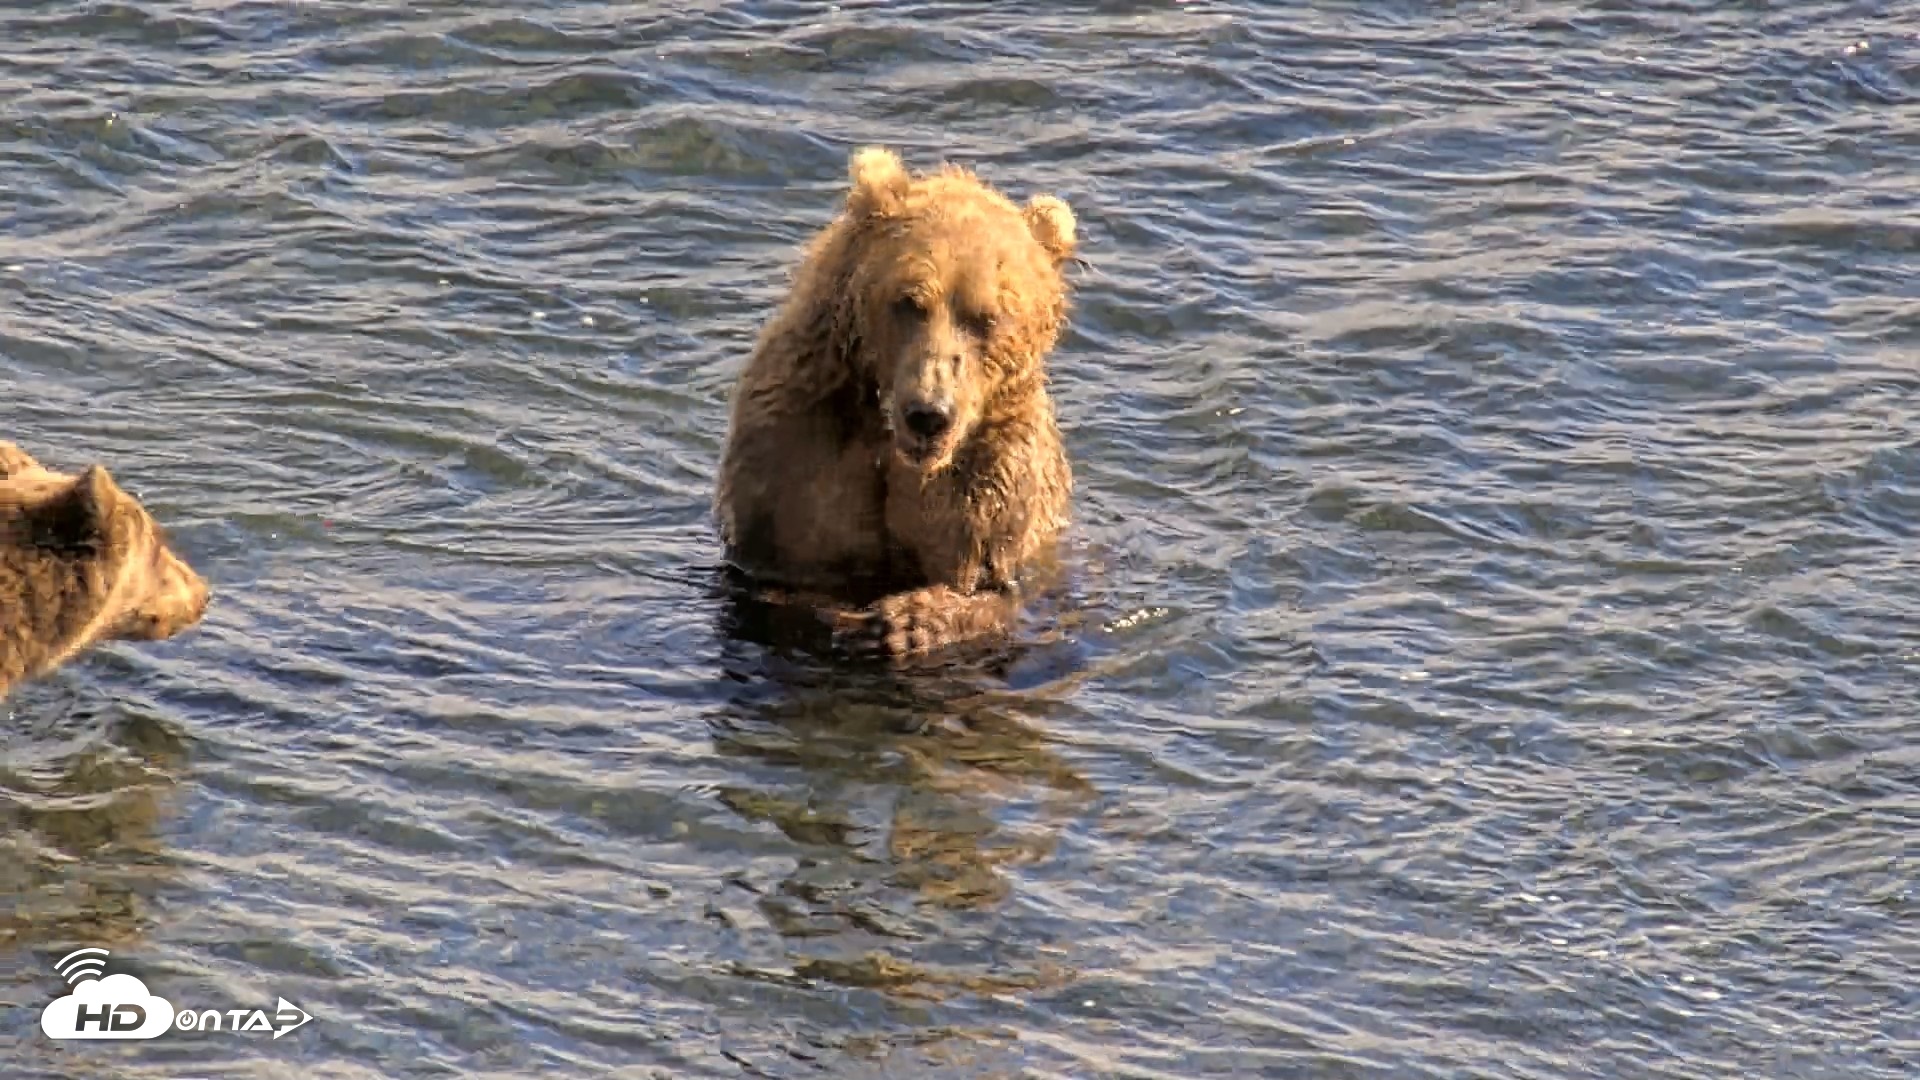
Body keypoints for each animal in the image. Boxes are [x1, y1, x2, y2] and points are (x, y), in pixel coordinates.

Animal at [714, 146, 1079, 658]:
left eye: (987, 317)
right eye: (910, 300)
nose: (929, 414)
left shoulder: (992, 487)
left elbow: (994, 587)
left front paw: (908, 619)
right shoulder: (796, 454)